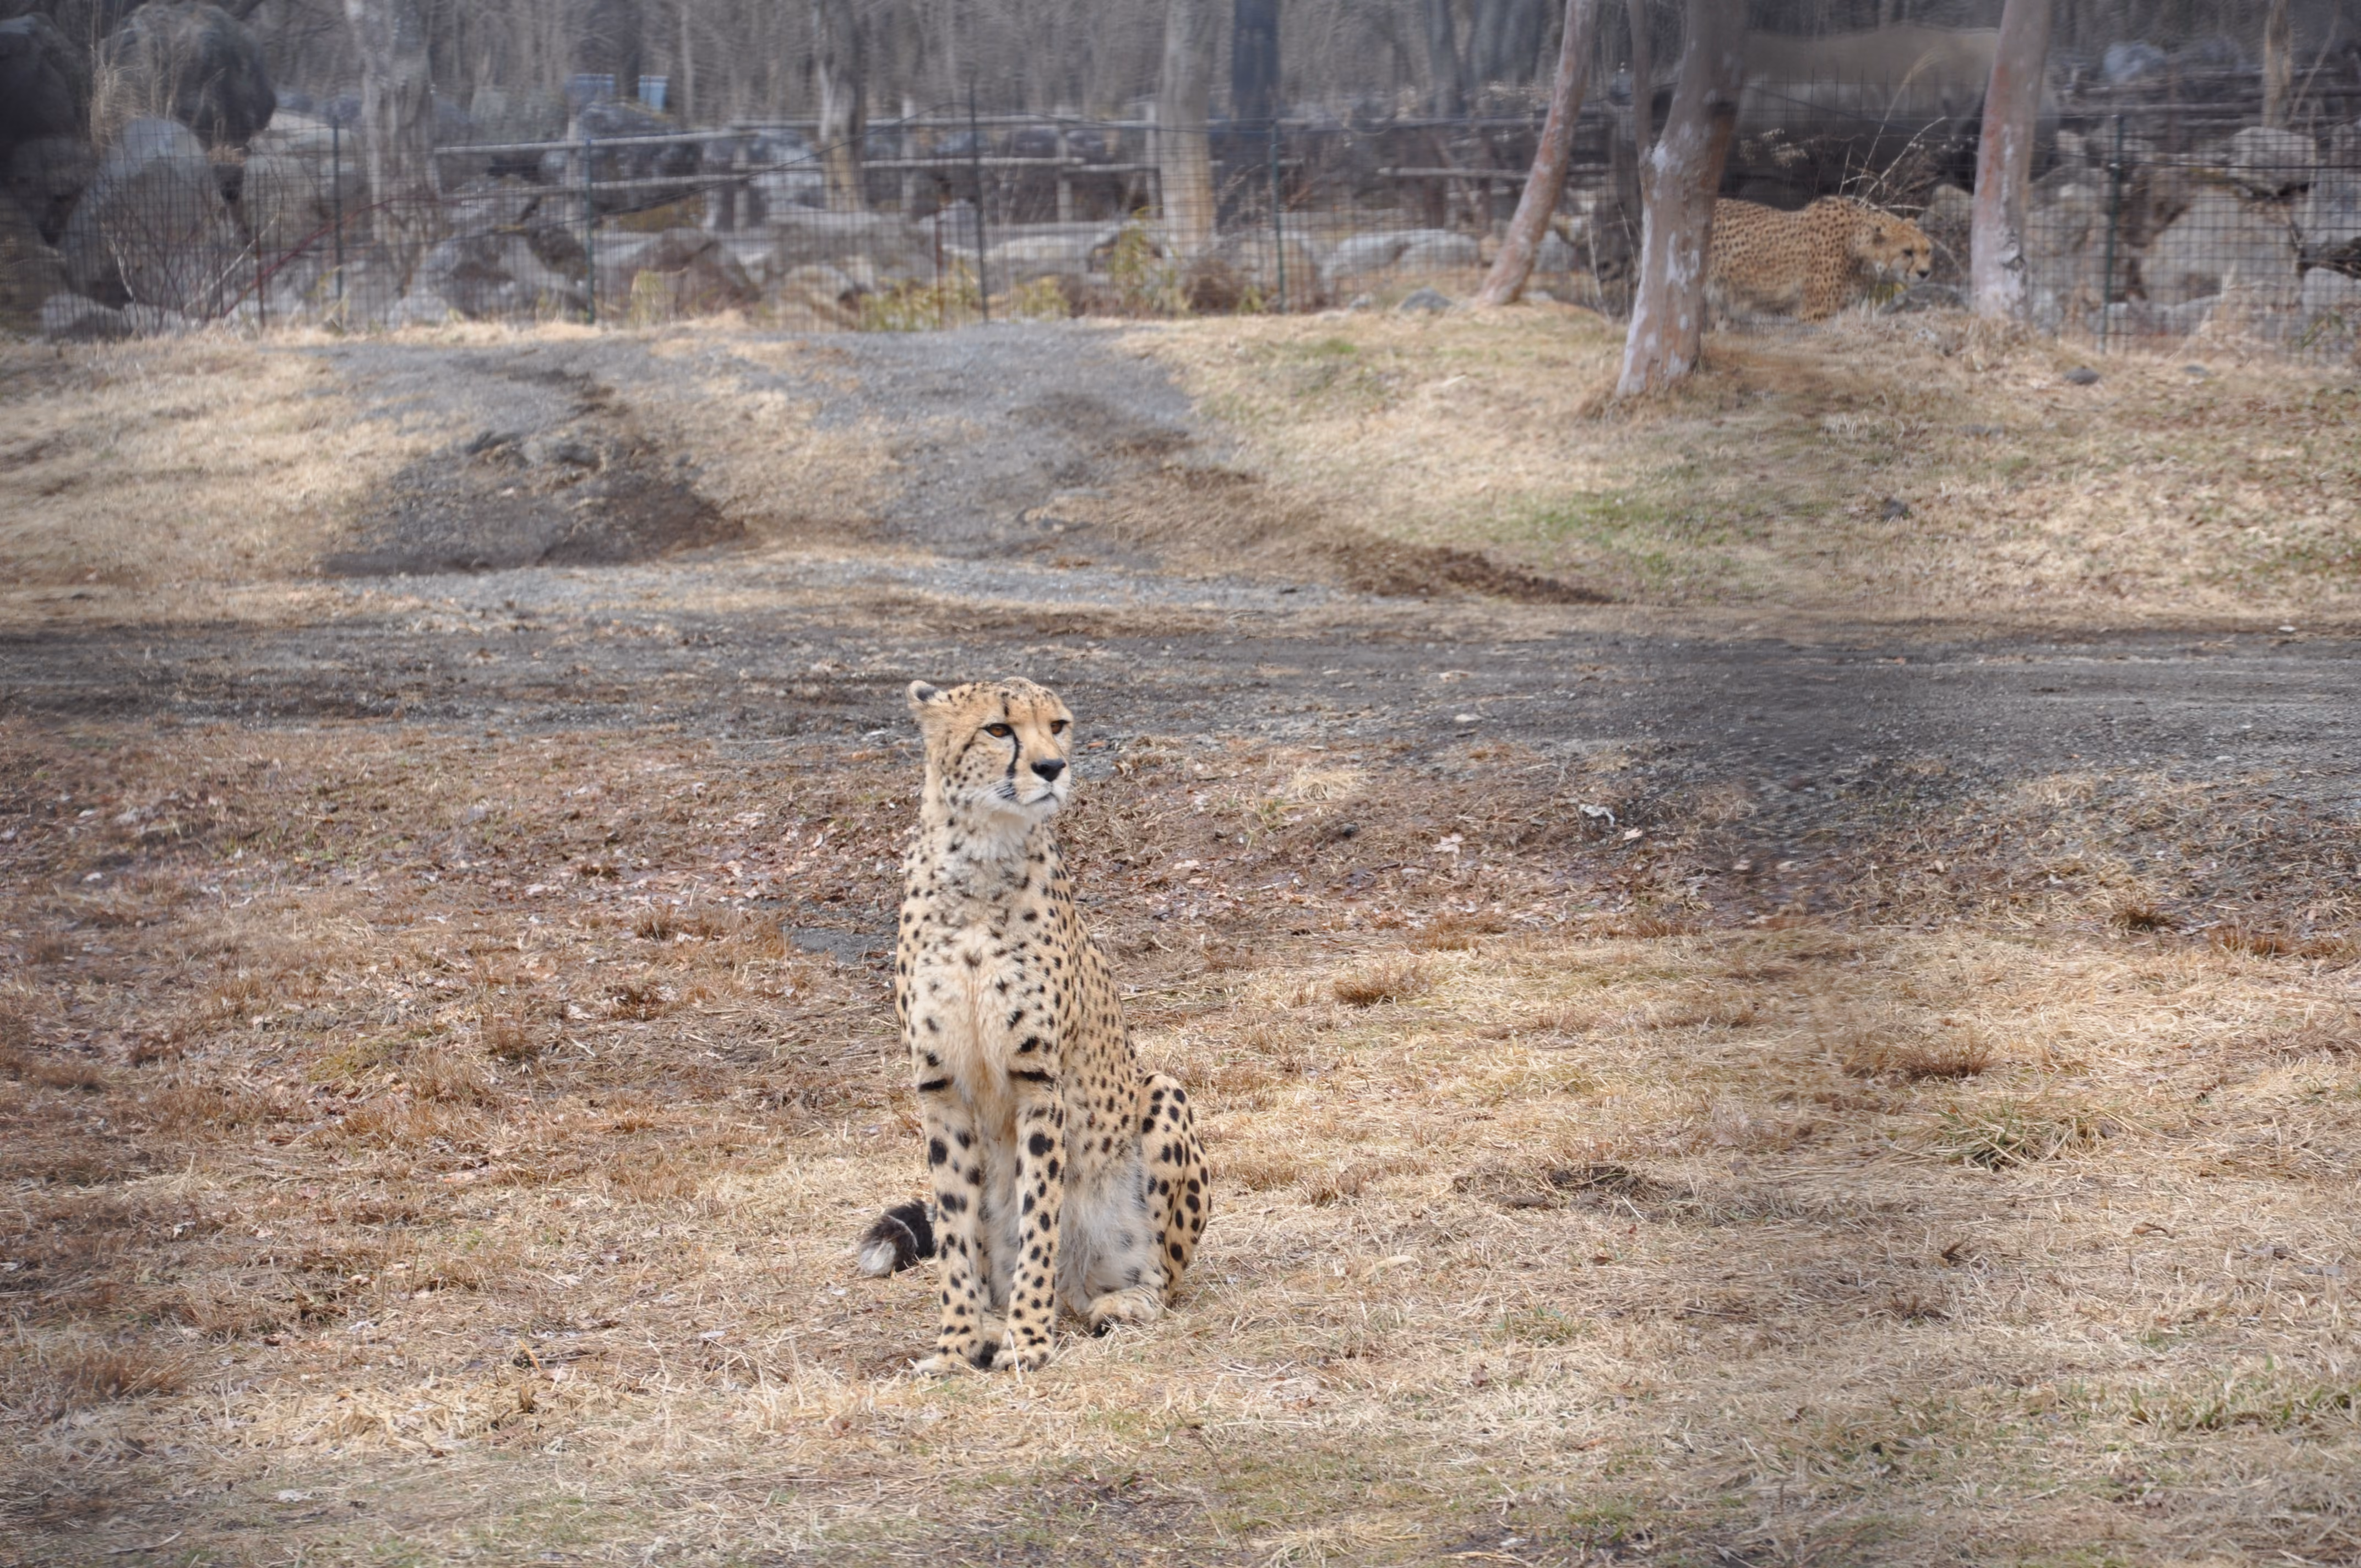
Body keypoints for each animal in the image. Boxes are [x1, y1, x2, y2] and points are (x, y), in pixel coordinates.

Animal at [857, 677, 1209, 1374]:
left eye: (1059, 725)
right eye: (998, 729)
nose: (1052, 767)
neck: (979, 866)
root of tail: (1078, 1292)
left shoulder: (1038, 1080)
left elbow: (1039, 1218)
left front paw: (1027, 1340)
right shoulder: (940, 1087)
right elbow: (956, 1231)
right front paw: (957, 1345)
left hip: (1162, 1091)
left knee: (1158, 1276)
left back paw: (1119, 1303)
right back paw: (991, 1321)